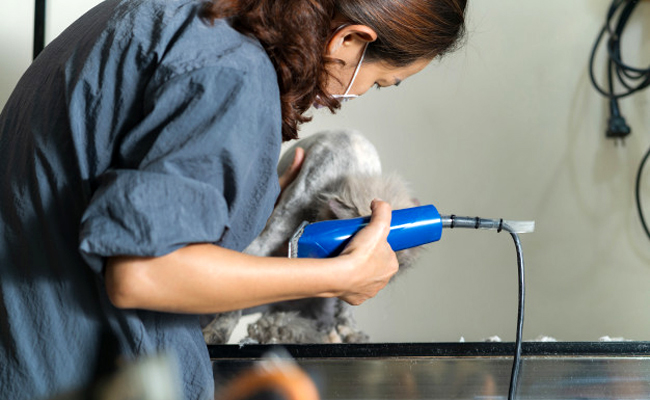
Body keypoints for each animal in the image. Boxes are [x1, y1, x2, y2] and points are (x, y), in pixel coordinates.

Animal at [204, 130, 426, 344]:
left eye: (400, 260)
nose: (391, 275)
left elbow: (346, 309)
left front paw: (351, 332)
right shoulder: (267, 238)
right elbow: (233, 306)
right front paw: (217, 332)